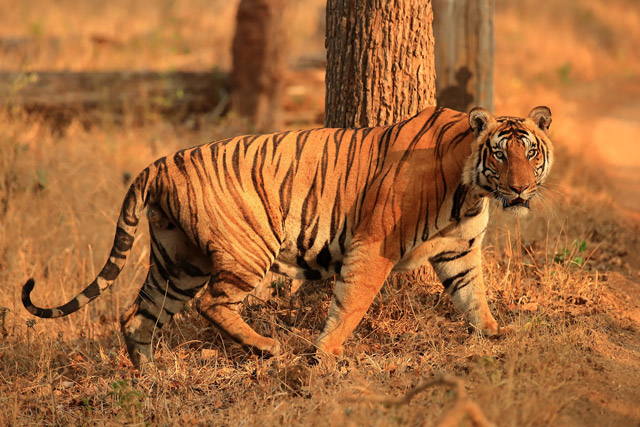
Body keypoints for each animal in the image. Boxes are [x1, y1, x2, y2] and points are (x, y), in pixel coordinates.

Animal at [22, 106, 553, 369]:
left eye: (529, 152)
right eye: (500, 154)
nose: (520, 188)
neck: (472, 189)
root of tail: (158, 163)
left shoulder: (460, 250)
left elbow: (473, 295)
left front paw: (493, 333)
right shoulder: (374, 245)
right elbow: (352, 301)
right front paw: (327, 354)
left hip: (179, 260)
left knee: (139, 314)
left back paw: (147, 374)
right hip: (246, 249)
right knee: (211, 303)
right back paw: (266, 348)